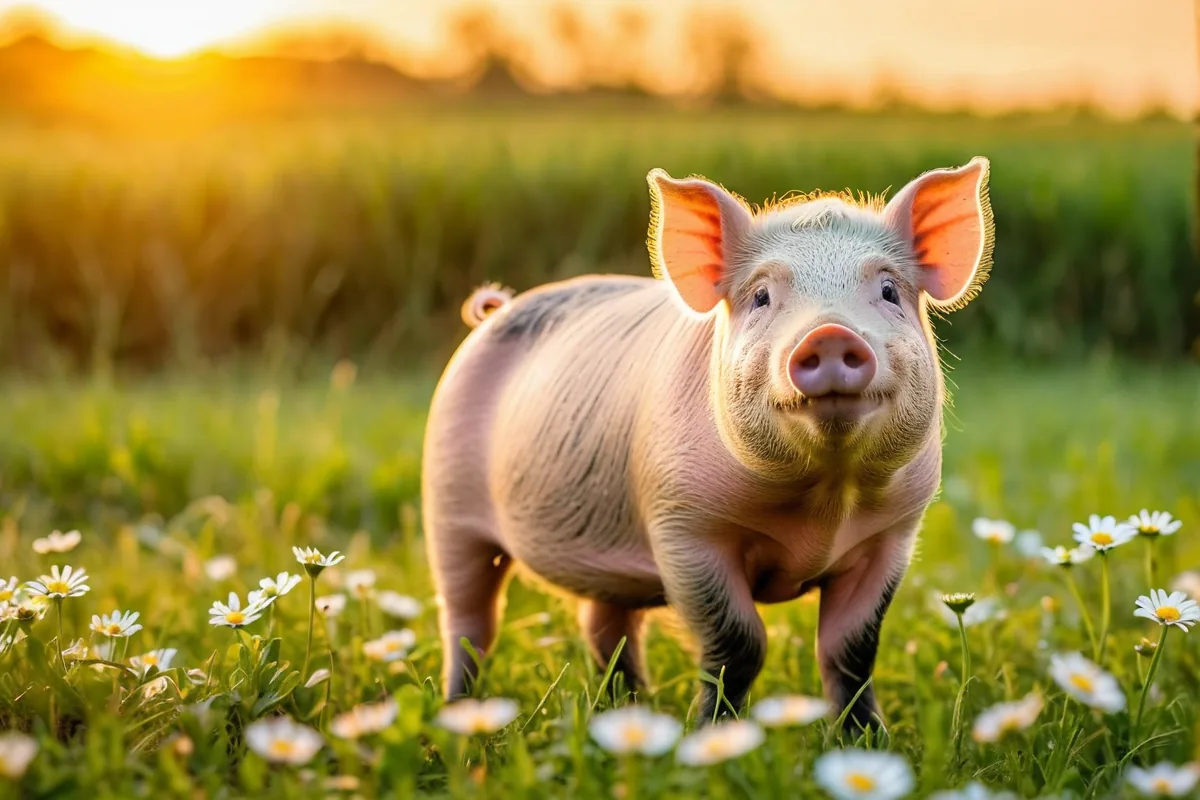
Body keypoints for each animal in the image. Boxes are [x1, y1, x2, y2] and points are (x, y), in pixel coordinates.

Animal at [423, 158, 994, 727]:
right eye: (761, 296)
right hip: (448, 507)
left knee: (605, 626)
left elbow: (850, 650)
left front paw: (867, 736)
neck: (824, 504)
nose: (830, 334)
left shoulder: (891, 536)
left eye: (889, 291)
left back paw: (630, 709)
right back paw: (460, 710)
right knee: (469, 619)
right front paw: (712, 731)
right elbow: (739, 644)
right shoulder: (684, 528)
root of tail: (495, 311)